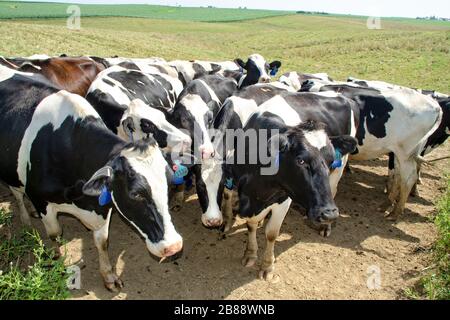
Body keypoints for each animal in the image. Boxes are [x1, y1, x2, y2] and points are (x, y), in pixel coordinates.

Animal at [0, 64, 184, 290]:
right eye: (136, 194)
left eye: (169, 187)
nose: (174, 246)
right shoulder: (41, 200)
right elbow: (55, 235)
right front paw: (59, 264)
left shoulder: (102, 205)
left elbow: (102, 242)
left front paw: (109, 276)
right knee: (17, 193)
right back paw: (26, 219)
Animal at [300, 81, 442, 219]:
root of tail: (434, 104)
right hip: (400, 153)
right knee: (398, 176)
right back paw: (386, 204)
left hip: (406, 153)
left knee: (409, 178)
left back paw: (395, 212)